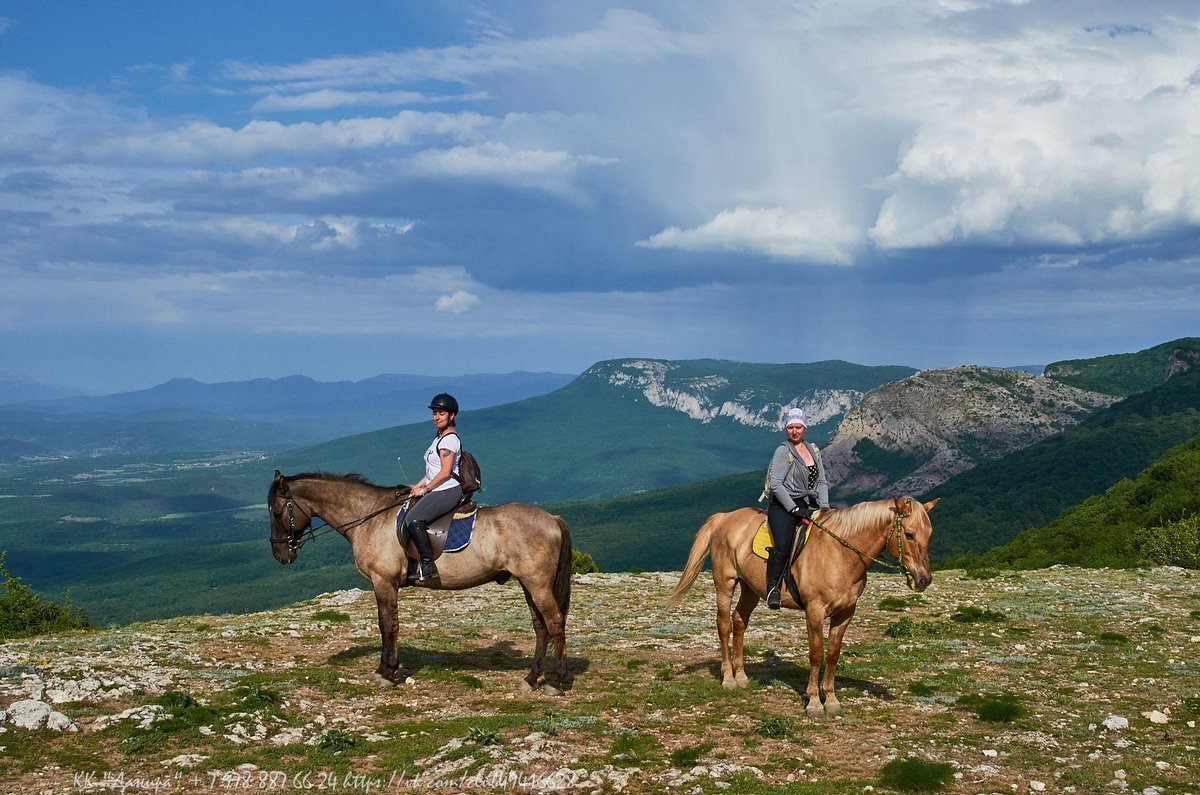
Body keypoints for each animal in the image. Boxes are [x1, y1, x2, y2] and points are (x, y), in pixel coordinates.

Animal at [270, 473, 573, 691]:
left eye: (276, 511)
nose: (280, 555)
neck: (370, 517)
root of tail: (552, 519)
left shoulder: (384, 582)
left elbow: (388, 625)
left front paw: (387, 672)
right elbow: (384, 624)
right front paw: (386, 668)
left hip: (537, 584)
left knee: (555, 623)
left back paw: (556, 682)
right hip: (528, 584)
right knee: (541, 627)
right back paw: (531, 679)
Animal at [667, 499, 936, 715]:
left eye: (929, 534)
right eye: (909, 534)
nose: (924, 580)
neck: (840, 554)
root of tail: (724, 517)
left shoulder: (845, 613)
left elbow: (833, 654)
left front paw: (832, 700)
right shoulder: (814, 611)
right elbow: (816, 654)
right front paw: (815, 703)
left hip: (750, 588)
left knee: (739, 621)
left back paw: (741, 676)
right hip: (725, 583)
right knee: (724, 625)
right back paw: (728, 679)